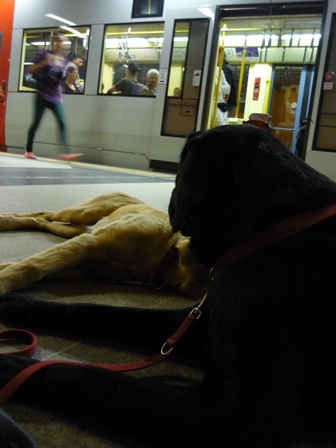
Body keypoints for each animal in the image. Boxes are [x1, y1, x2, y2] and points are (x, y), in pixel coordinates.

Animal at [0, 125, 336, 448]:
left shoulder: (232, 413)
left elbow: (86, 356)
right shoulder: (91, 244)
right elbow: (42, 269)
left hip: (77, 229)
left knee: (47, 224)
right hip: (82, 215)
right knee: (45, 215)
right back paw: (8, 220)